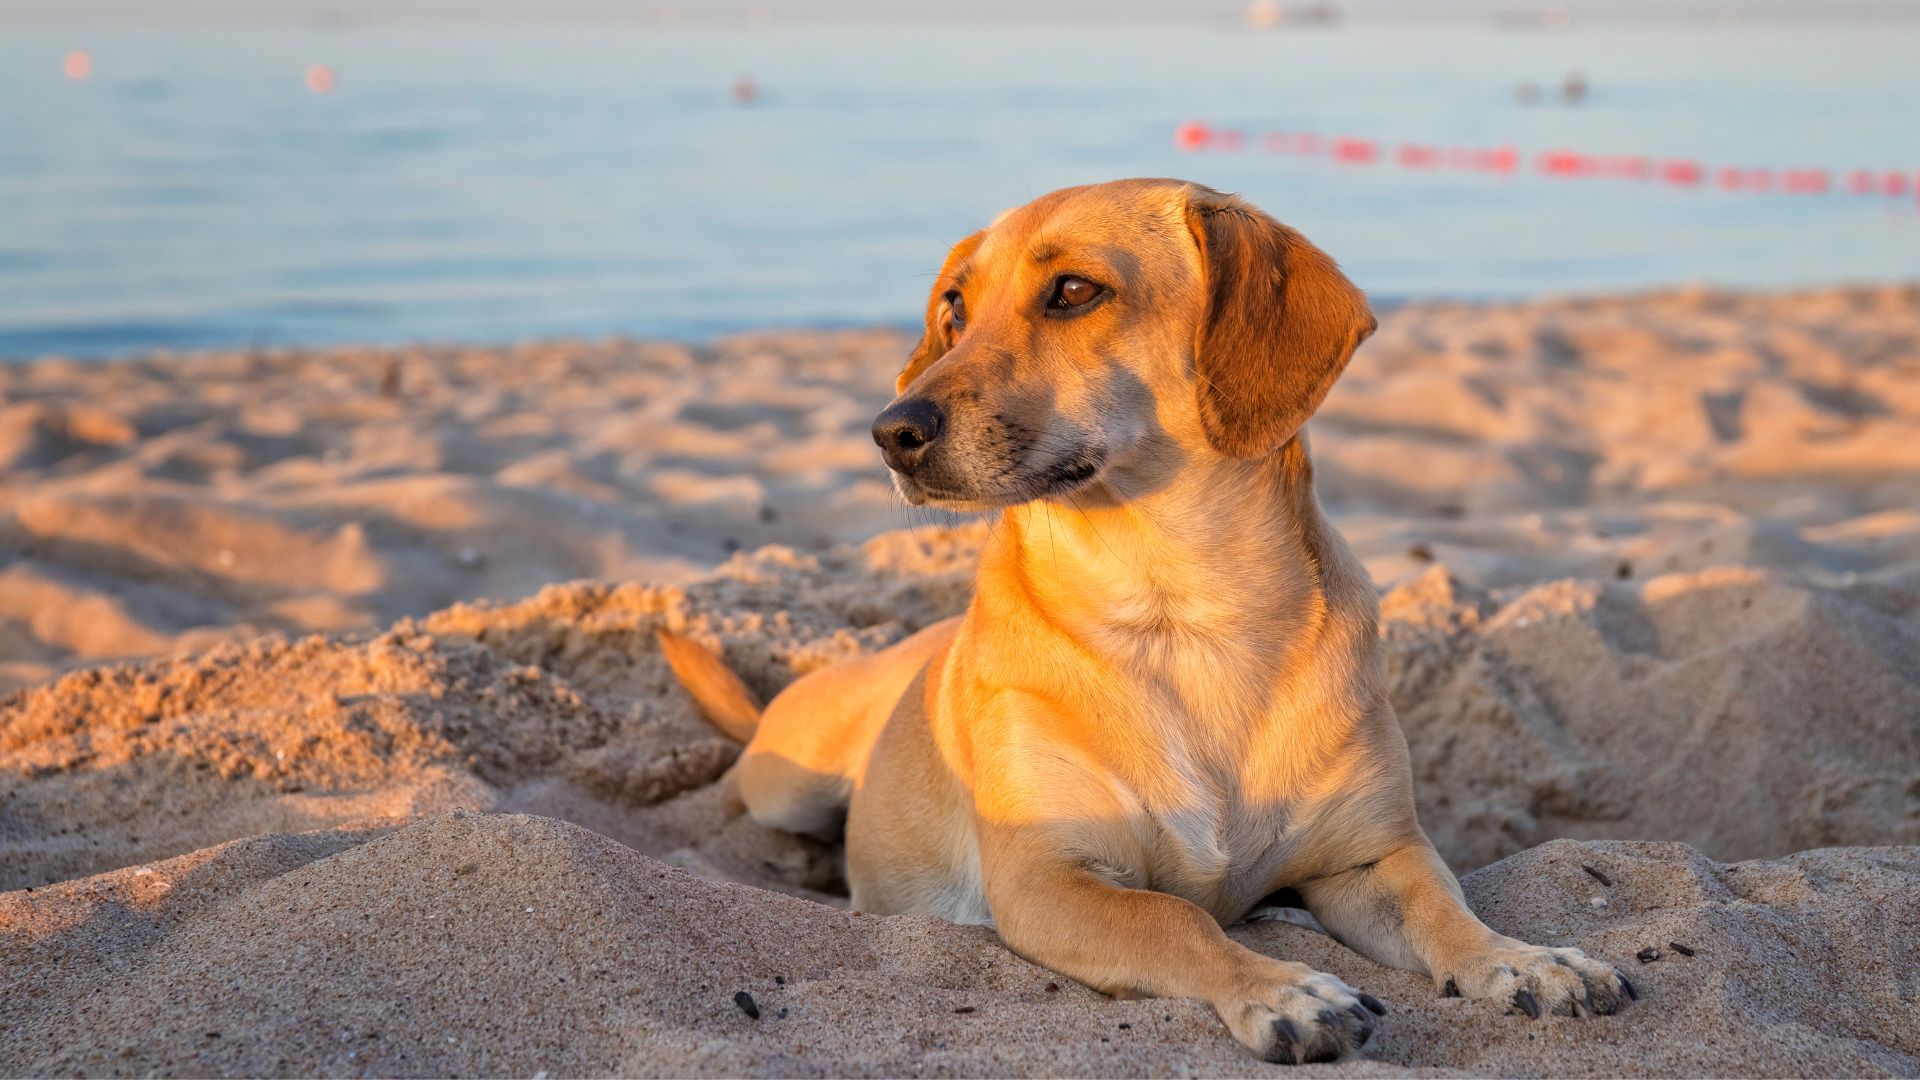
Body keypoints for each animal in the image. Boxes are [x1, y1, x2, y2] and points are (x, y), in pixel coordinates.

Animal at [652, 176, 1628, 1060]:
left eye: (1074, 292)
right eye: (954, 307)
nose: (892, 432)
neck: (1180, 610)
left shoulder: (1372, 858)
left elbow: (1444, 908)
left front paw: (1526, 960)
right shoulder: (1049, 880)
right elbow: (1176, 922)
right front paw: (1284, 991)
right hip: (788, 780)